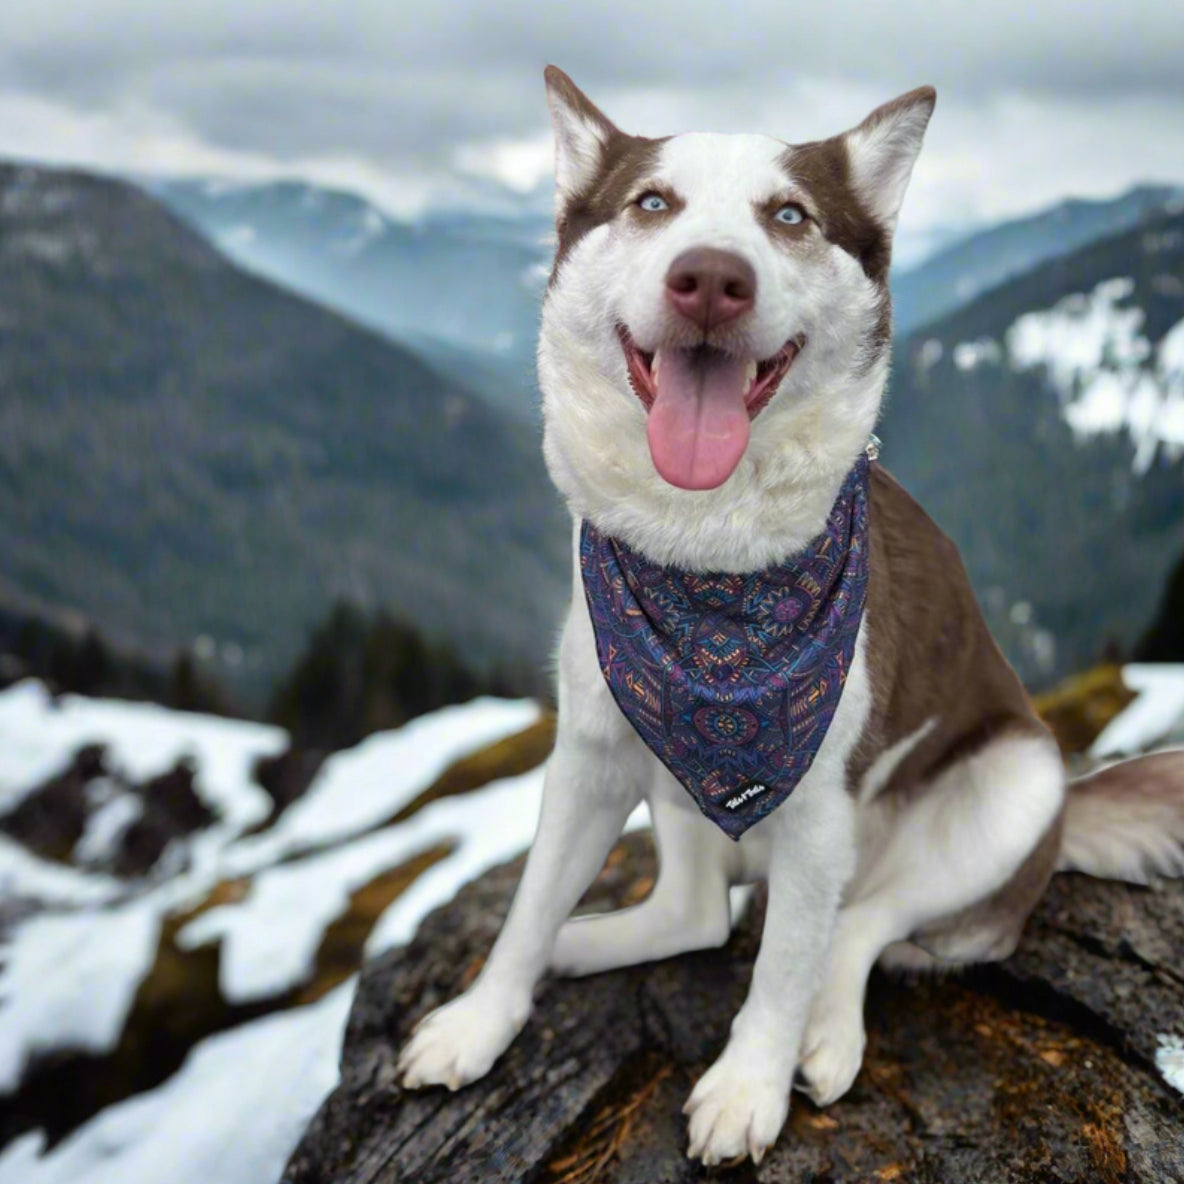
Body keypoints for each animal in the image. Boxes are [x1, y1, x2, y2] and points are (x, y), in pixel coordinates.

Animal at [397, 67, 1184, 1165]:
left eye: (789, 217)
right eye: (653, 203)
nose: (710, 279)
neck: (710, 554)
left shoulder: (818, 806)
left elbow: (781, 965)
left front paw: (748, 1083)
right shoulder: (592, 751)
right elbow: (527, 903)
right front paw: (483, 1016)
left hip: (1011, 787)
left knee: (860, 924)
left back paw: (827, 1030)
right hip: (675, 776)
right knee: (695, 914)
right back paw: (584, 945)